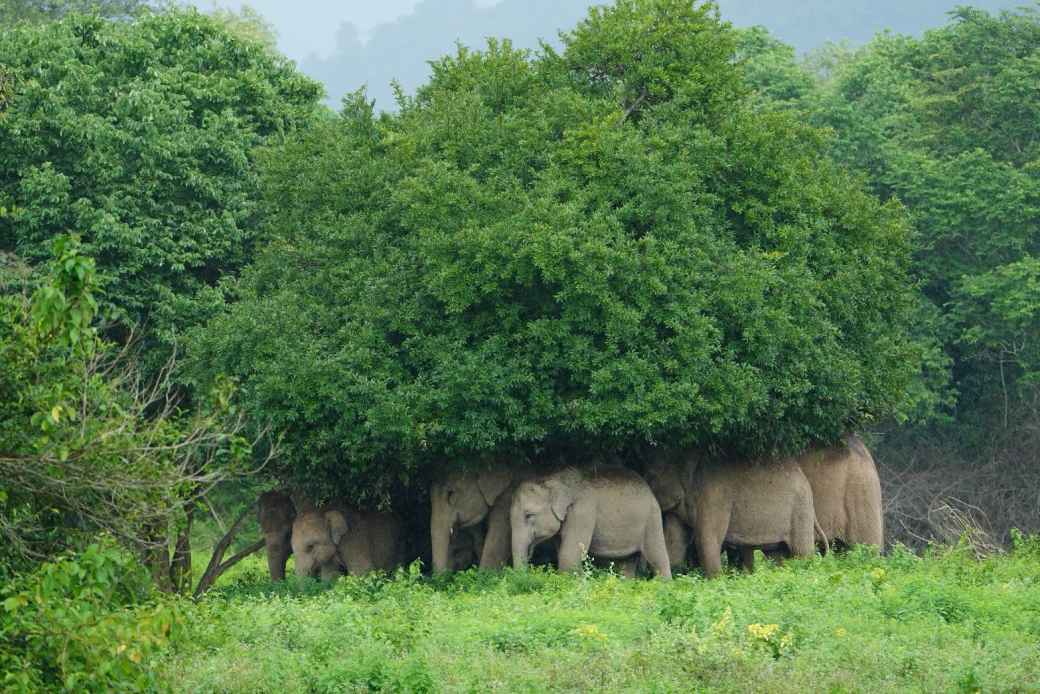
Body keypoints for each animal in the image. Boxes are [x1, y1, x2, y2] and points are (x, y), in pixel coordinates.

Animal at [510, 467, 672, 580]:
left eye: (529, 515)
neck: (554, 479)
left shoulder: (583, 511)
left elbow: (569, 556)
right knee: (626, 562)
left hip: (651, 518)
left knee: (658, 557)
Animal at [645, 453, 819, 578]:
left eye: (651, 476)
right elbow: (675, 543)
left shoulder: (714, 497)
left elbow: (707, 540)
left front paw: (715, 581)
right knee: (776, 555)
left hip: (800, 509)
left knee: (801, 551)